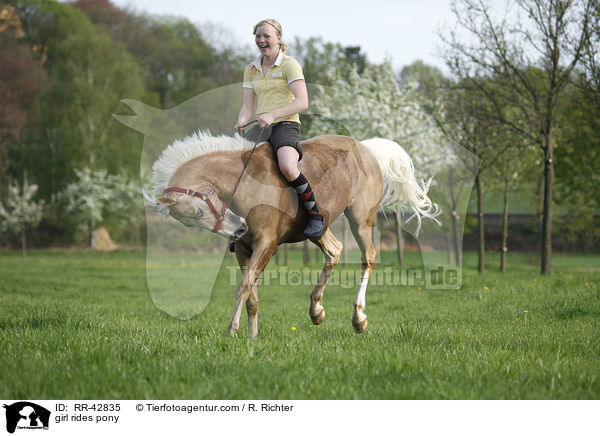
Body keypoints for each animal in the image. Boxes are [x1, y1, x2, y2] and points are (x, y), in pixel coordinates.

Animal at [148, 131, 434, 338]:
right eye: (190, 221)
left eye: (198, 211)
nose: (239, 228)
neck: (245, 183)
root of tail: (364, 148)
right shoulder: (243, 249)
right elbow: (251, 295)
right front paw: (252, 337)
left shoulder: (266, 244)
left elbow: (243, 288)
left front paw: (232, 331)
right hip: (318, 227)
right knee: (334, 251)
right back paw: (316, 310)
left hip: (360, 219)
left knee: (368, 257)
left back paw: (358, 318)